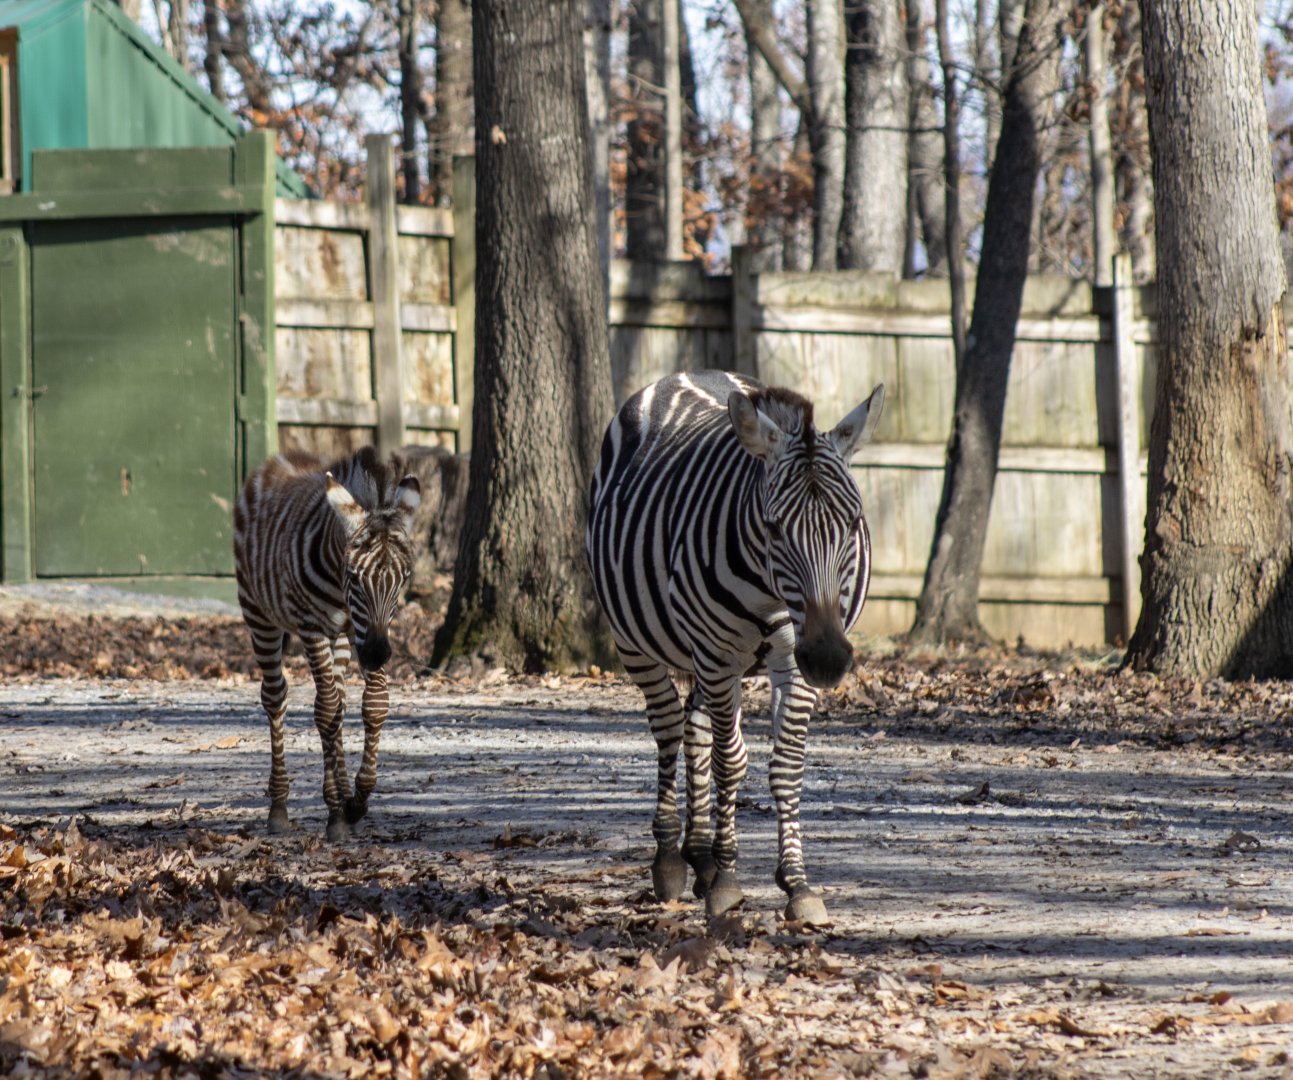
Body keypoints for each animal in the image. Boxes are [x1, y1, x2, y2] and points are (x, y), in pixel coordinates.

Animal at [234, 446, 421, 841]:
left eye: (403, 578)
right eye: (355, 576)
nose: (378, 655)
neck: (341, 591)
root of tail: (282, 458)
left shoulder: (361, 631)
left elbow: (371, 705)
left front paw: (356, 802)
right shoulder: (313, 627)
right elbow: (324, 710)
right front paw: (337, 811)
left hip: (344, 641)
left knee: (340, 702)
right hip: (258, 613)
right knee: (276, 697)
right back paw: (279, 808)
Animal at [586, 370, 884, 925]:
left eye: (853, 522)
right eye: (773, 527)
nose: (829, 660)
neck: (772, 593)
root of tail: (686, 374)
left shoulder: (791, 660)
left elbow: (783, 765)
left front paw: (797, 885)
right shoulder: (719, 655)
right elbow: (730, 762)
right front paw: (727, 881)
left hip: (709, 662)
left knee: (695, 728)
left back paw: (699, 855)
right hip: (639, 644)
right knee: (669, 728)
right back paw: (671, 860)